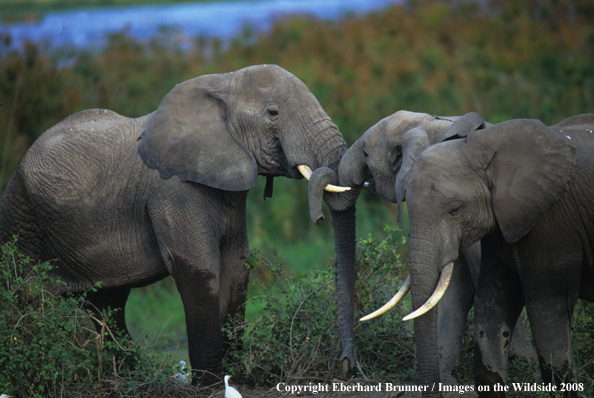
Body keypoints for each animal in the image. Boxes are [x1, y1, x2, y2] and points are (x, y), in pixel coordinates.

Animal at [0, 64, 350, 386]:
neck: (223, 81)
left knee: (107, 307)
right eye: (273, 113)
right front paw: (210, 385)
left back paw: (131, 375)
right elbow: (198, 269)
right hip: (20, 219)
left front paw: (235, 377)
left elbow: (236, 266)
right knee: (23, 300)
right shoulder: (172, 193)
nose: (318, 218)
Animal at [306, 110, 532, 384]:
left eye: (367, 155)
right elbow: (455, 286)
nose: (347, 367)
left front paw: (522, 363)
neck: (427, 123)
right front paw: (446, 378)